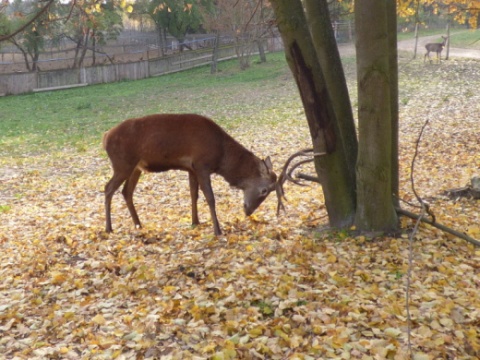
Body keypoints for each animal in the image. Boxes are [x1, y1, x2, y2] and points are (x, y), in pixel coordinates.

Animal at [103, 113, 280, 236]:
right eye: (264, 190)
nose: (248, 211)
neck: (221, 156)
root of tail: (105, 138)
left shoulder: (191, 169)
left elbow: (193, 194)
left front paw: (195, 222)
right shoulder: (202, 165)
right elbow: (210, 197)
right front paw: (217, 230)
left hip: (136, 167)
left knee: (126, 191)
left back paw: (138, 224)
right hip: (122, 164)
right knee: (108, 188)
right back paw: (109, 228)